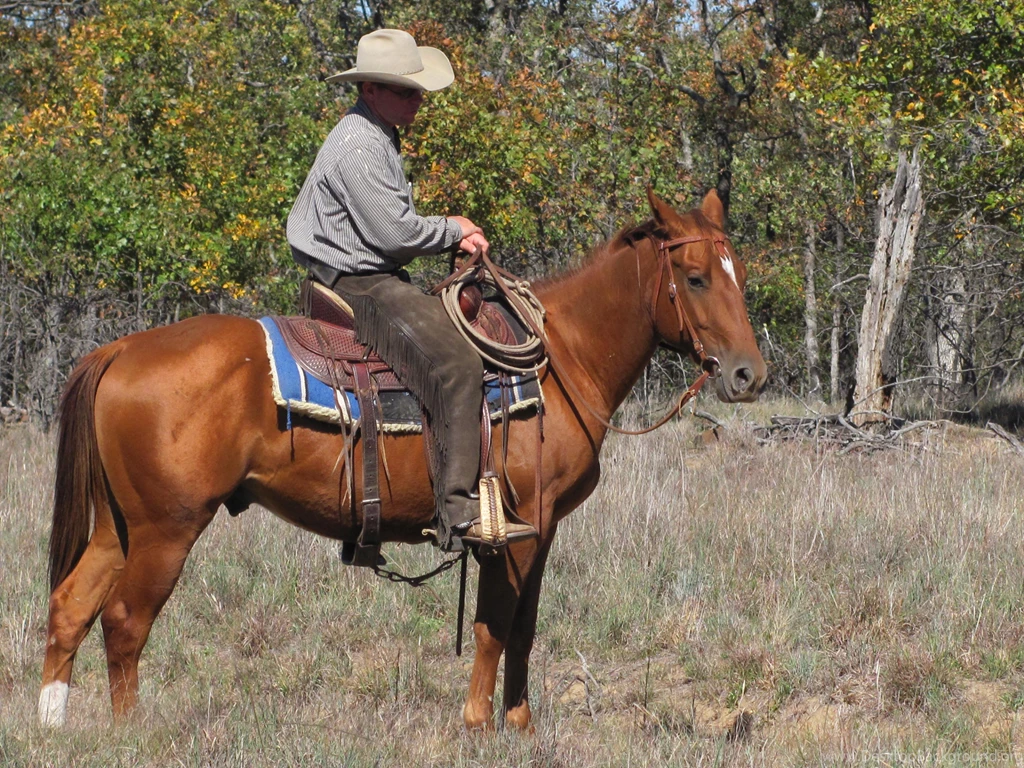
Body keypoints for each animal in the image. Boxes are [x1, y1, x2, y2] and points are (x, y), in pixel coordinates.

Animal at [38, 188, 766, 730]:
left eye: (739, 275)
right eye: (695, 278)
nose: (747, 375)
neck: (561, 359)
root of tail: (120, 350)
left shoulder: (542, 529)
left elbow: (525, 629)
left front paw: (521, 727)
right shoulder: (513, 528)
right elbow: (494, 626)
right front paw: (477, 726)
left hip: (120, 526)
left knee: (71, 607)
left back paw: (53, 725)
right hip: (167, 528)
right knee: (125, 621)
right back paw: (130, 732)